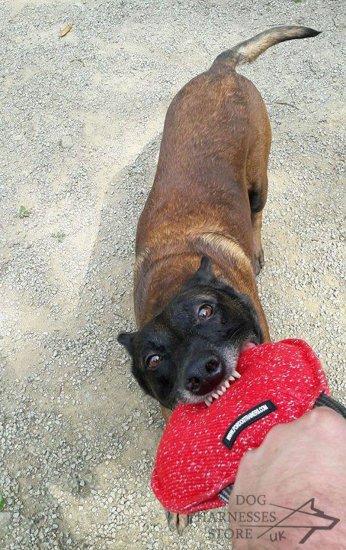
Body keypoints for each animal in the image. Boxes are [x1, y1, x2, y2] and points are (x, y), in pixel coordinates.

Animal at [118, 25, 318, 536]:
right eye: (153, 359)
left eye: (206, 311)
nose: (202, 373)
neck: (174, 282)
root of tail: (219, 71)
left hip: (258, 179)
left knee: (258, 210)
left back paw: (258, 246)